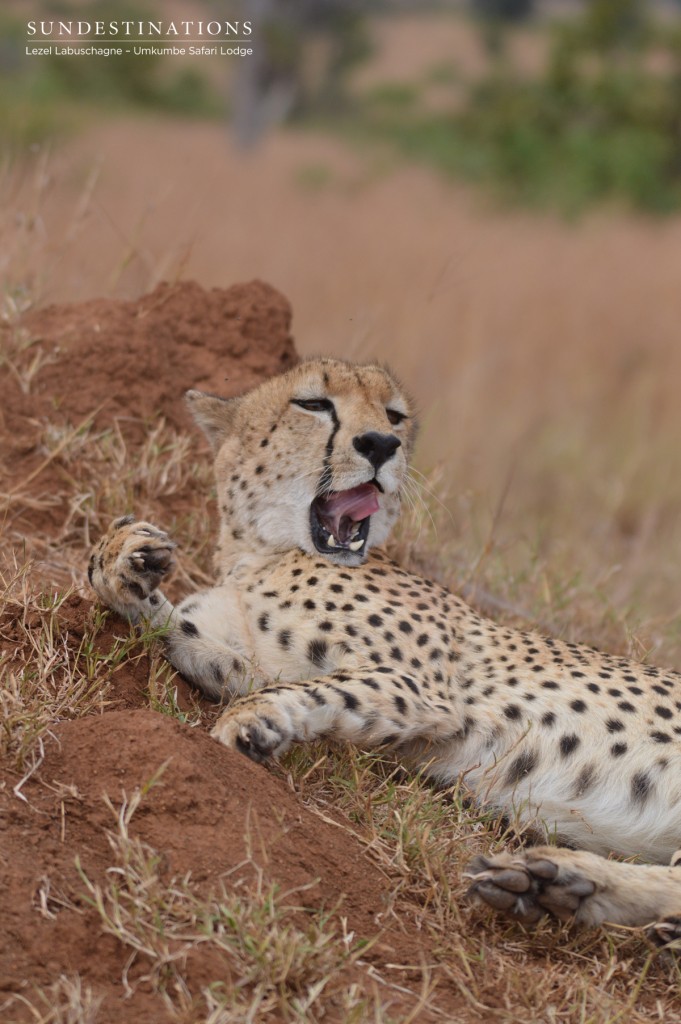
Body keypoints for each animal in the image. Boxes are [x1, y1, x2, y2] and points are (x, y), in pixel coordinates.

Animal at [88, 356, 681, 946]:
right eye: (313, 404)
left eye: (394, 416)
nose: (379, 444)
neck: (261, 552)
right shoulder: (249, 663)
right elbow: (184, 634)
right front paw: (122, 561)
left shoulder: (421, 689)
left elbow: (315, 688)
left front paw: (252, 722)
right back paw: (555, 885)